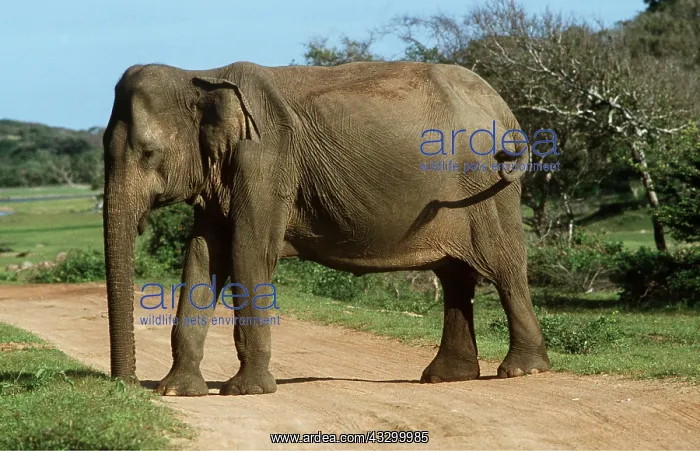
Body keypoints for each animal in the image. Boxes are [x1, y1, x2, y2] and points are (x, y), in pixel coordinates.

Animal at [103, 60, 551, 396]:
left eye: (149, 153)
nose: (127, 386)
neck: (202, 75)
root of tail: (502, 106)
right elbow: (202, 256)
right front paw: (176, 391)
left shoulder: (266, 160)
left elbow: (247, 252)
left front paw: (246, 390)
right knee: (455, 275)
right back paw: (446, 377)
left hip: (486, 190)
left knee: (505, 268)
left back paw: (522, 371)